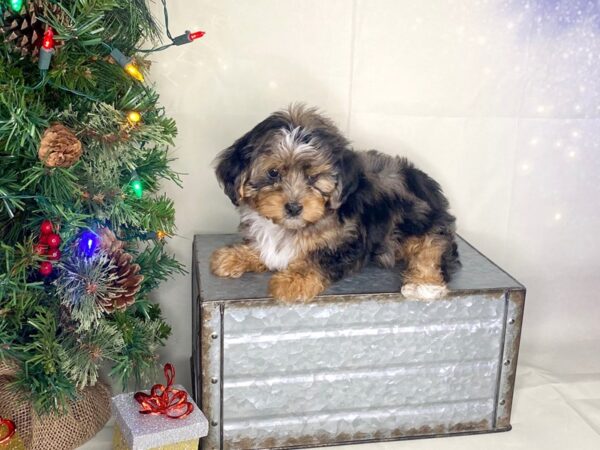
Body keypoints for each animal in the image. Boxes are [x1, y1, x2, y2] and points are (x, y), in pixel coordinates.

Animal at [211, 104, 460, 302]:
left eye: (313, 177)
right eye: (273, 173)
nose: (294, 208)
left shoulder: (349, 242)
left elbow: (320, 259)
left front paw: (293, 280)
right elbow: (266, 249)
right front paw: (234, 256)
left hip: (418, 217)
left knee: (434, 244)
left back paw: (424, 283)